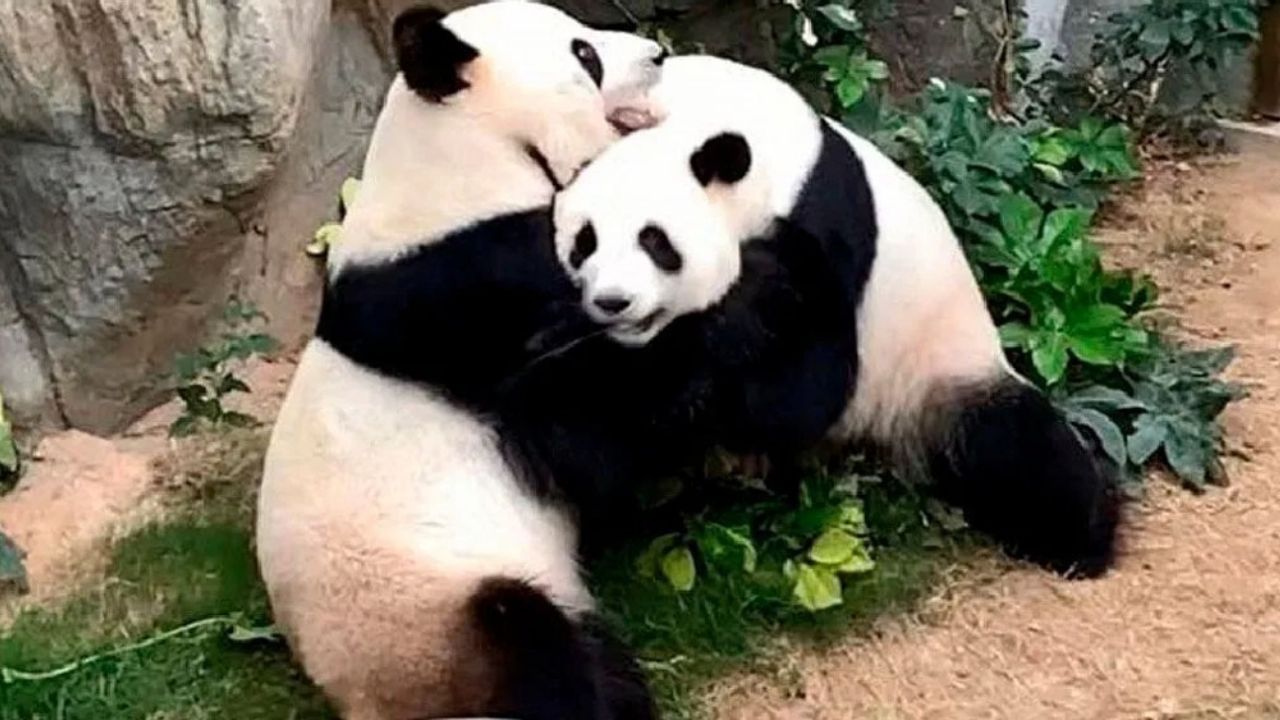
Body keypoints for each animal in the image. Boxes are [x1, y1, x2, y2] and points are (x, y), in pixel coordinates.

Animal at [255, 4, 664, 719]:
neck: (463, 163)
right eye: (585, 55)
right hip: (424, 611)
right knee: (528, 636)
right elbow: (582, 439)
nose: (658, 56)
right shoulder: (469, 294)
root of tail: (362, 702)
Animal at [550, 55, 1120, 579]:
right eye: (585, 242)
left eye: (655, 242)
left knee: (1018, 448)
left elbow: (803, 388)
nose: (613, 302)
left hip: (938, 369)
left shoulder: (823, 226)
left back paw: (1083, 542)